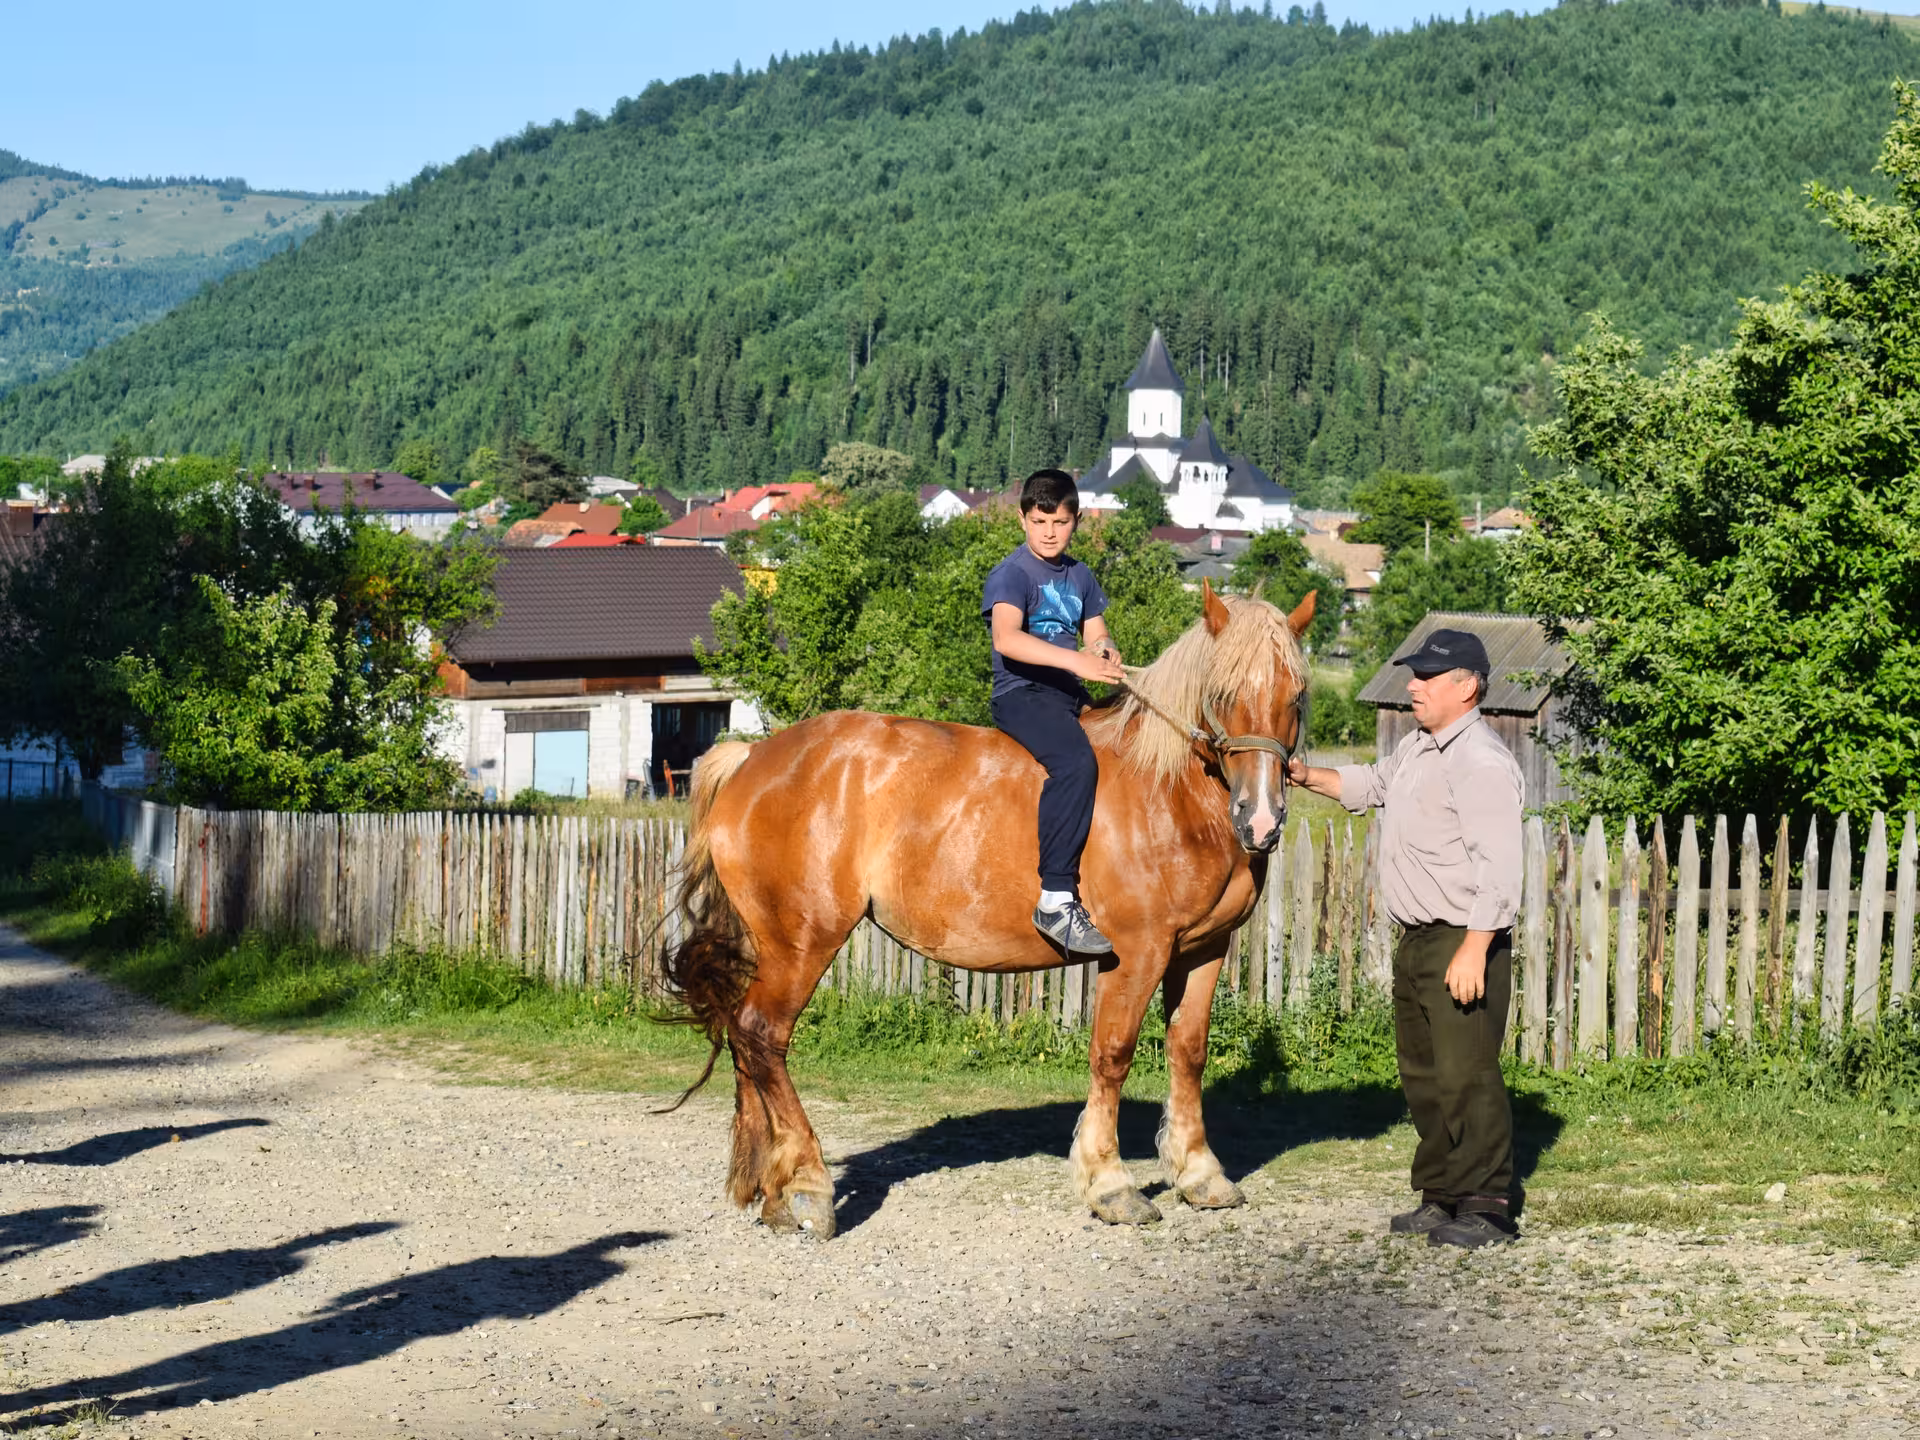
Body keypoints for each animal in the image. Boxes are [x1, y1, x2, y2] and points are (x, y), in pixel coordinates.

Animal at [661, 580, 1315, 1238]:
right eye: (1223, 694)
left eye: (1296, 694)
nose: (1261, 819)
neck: (1168, 790)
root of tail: (750, 762)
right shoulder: (1137, 951)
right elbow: (1113, 1054)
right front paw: (1111, 1184)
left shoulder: (1204, 948)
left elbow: (1188, 1051)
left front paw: (1200, 1172)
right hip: (802, 940)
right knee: (762, 1034)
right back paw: (809, 1186)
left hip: (770, 945)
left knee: (744, 1040)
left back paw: (773, 1192)